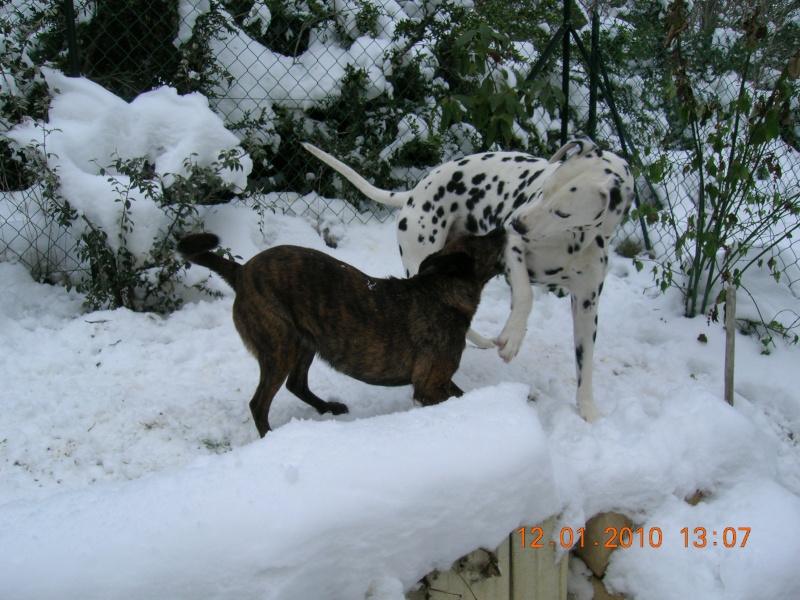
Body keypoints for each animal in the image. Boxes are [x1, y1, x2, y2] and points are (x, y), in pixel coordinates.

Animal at [180, 227, 506, 438]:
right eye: (484, 241)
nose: (503, 227)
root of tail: (241, 271)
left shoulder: (439, 381)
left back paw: (327, 407)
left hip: (305, 341)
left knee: (296, 384)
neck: (441, 289)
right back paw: (271, 438)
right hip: (280, 345)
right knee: (259, 404)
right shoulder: (430, 385)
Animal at [304, 137, 636, 422]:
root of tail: (414, 193)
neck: (570, 240)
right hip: (424, 258)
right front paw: (513, 336)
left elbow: (585, 362)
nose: (515, 223)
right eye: (542, 189)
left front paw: (589, 410)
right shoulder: (511, 249)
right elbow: (525, 294)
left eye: (563, 212)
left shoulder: (586, 303)